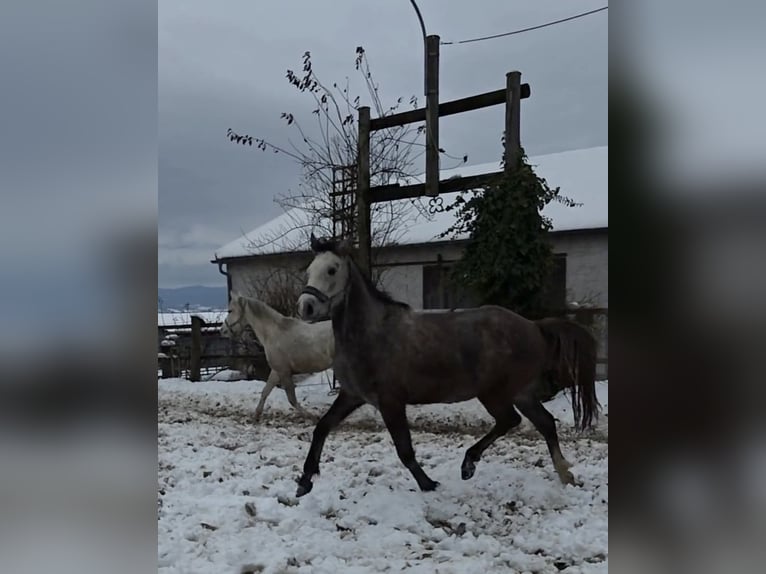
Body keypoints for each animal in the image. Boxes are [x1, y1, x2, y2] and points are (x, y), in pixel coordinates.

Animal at [220, 293, 334, 421]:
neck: (273, 333)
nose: (222, 331)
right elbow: (265, 391)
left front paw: (310, 415)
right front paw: (256, 415)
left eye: (230, 310)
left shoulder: (284, 372)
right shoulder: (276, 371)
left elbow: (291, 399)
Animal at [292, 234, 599, 497]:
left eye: (332, 270)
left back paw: (469, 464)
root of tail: (535, 327)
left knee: (510, 420)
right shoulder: (352, 395)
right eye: (309, 270)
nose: (305, 307)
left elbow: (405, 449)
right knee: (544, 423)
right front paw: (305, 482)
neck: (372, 334)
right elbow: (322, 427)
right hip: (521, 392)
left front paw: (428, 484)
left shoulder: (391, 401)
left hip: (495, 393)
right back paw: (565, 474)